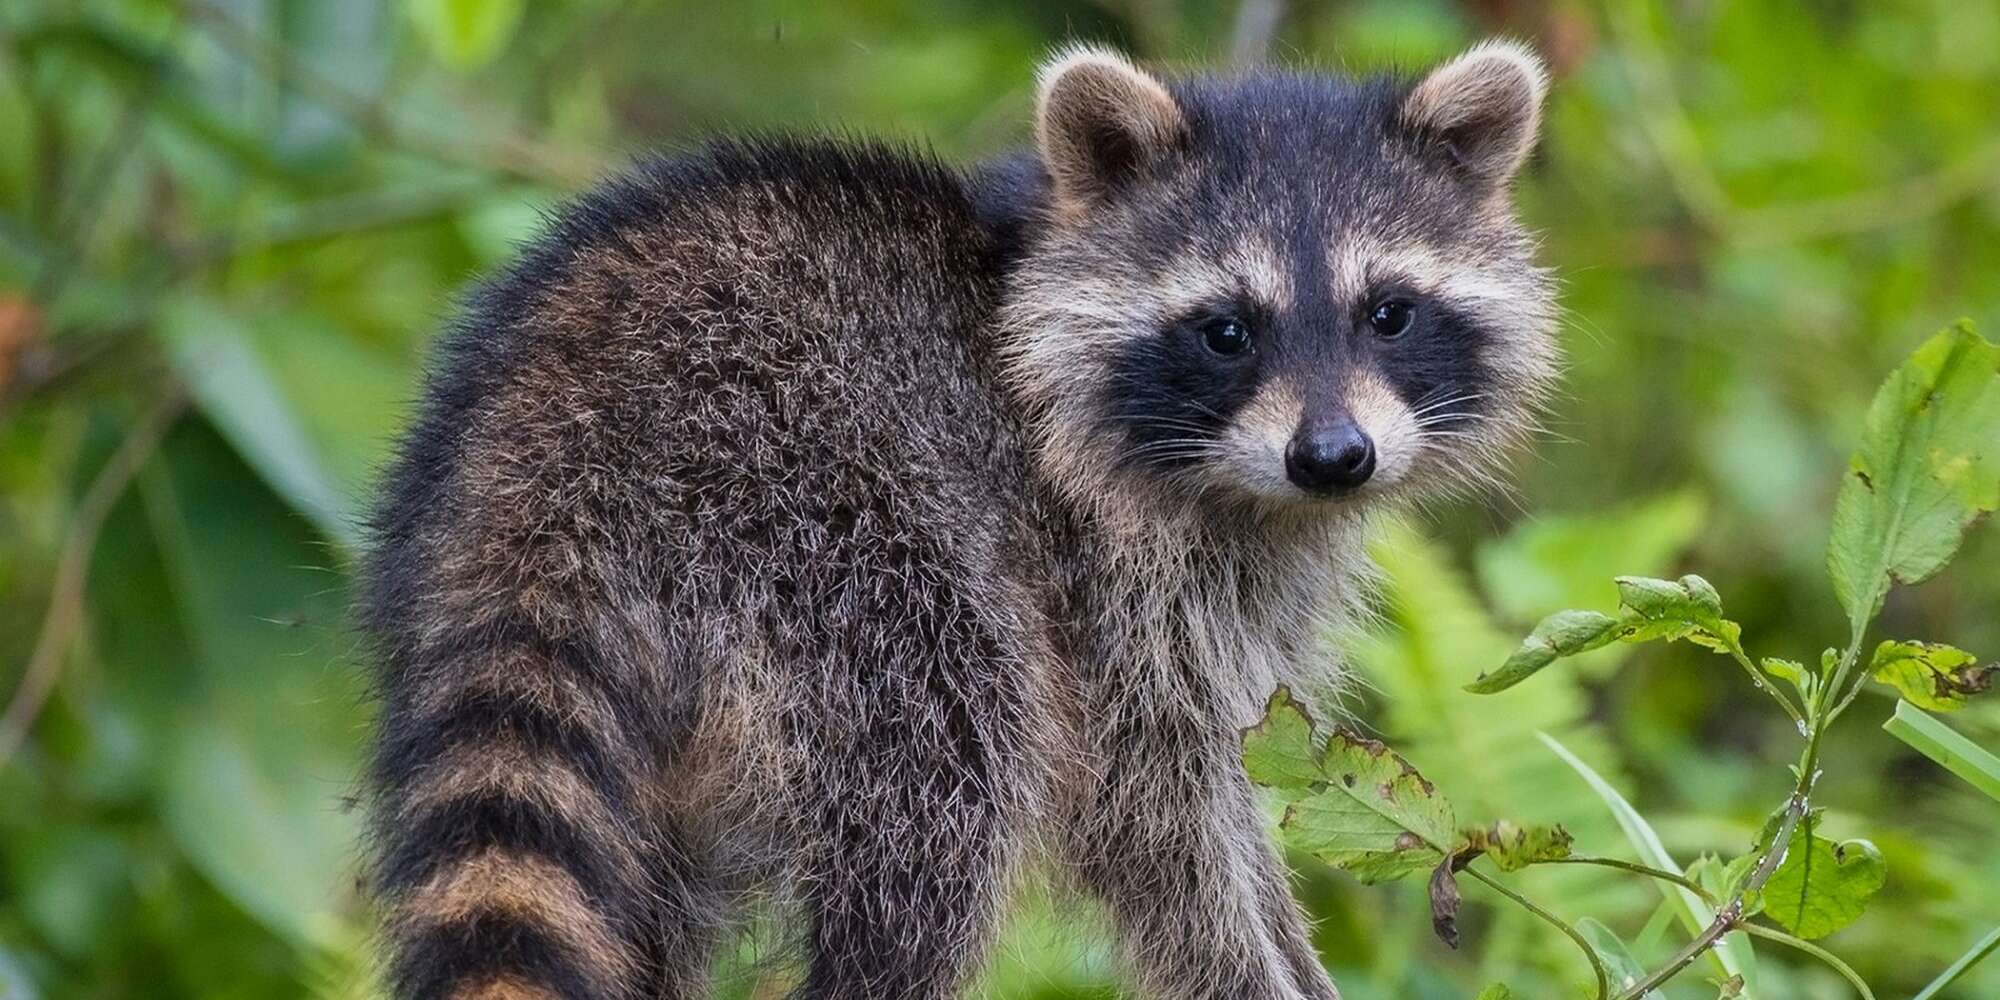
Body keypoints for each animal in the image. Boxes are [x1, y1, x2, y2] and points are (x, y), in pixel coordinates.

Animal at [364, 39, 1560, 1000]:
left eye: (1388, 313)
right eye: (1227, 331)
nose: (1333, 458)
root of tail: (555, 450)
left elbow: (1232, 777)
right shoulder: (1102, 574)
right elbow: (1160, 823)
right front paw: (1250, 968)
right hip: (836, 534)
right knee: (943, 804)